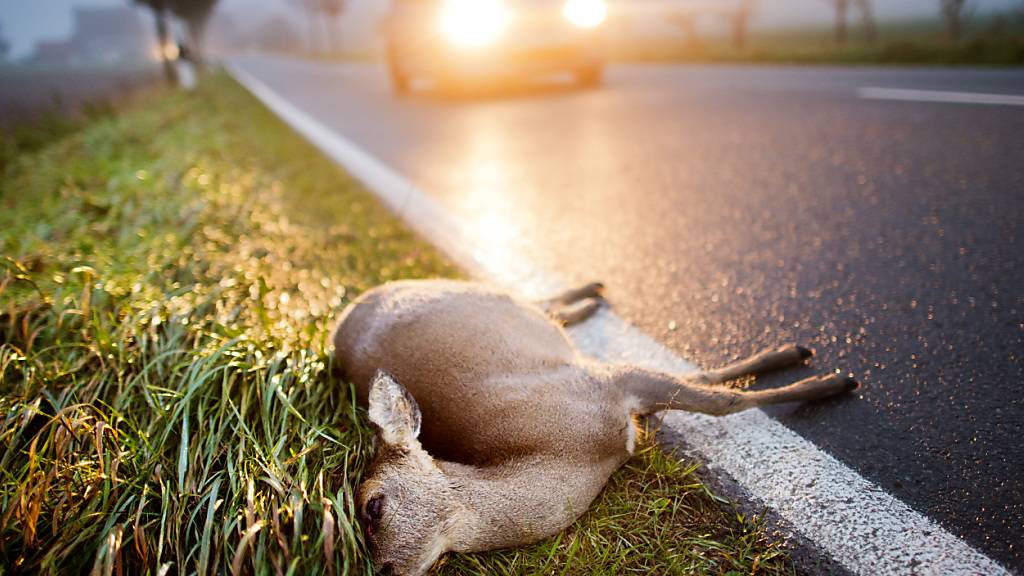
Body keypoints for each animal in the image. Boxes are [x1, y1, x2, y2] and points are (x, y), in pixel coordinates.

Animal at [331, 276, 851, 569]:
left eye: (372, 507)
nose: (383, 570)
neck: (577, 454)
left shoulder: (605, 382)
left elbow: (720, 399)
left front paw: (827, 380)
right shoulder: (612, 388)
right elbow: (707, 387)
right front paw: (814, 371)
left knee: (535, 298)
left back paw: (592, 294)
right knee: (542, 305)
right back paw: (590, 299)